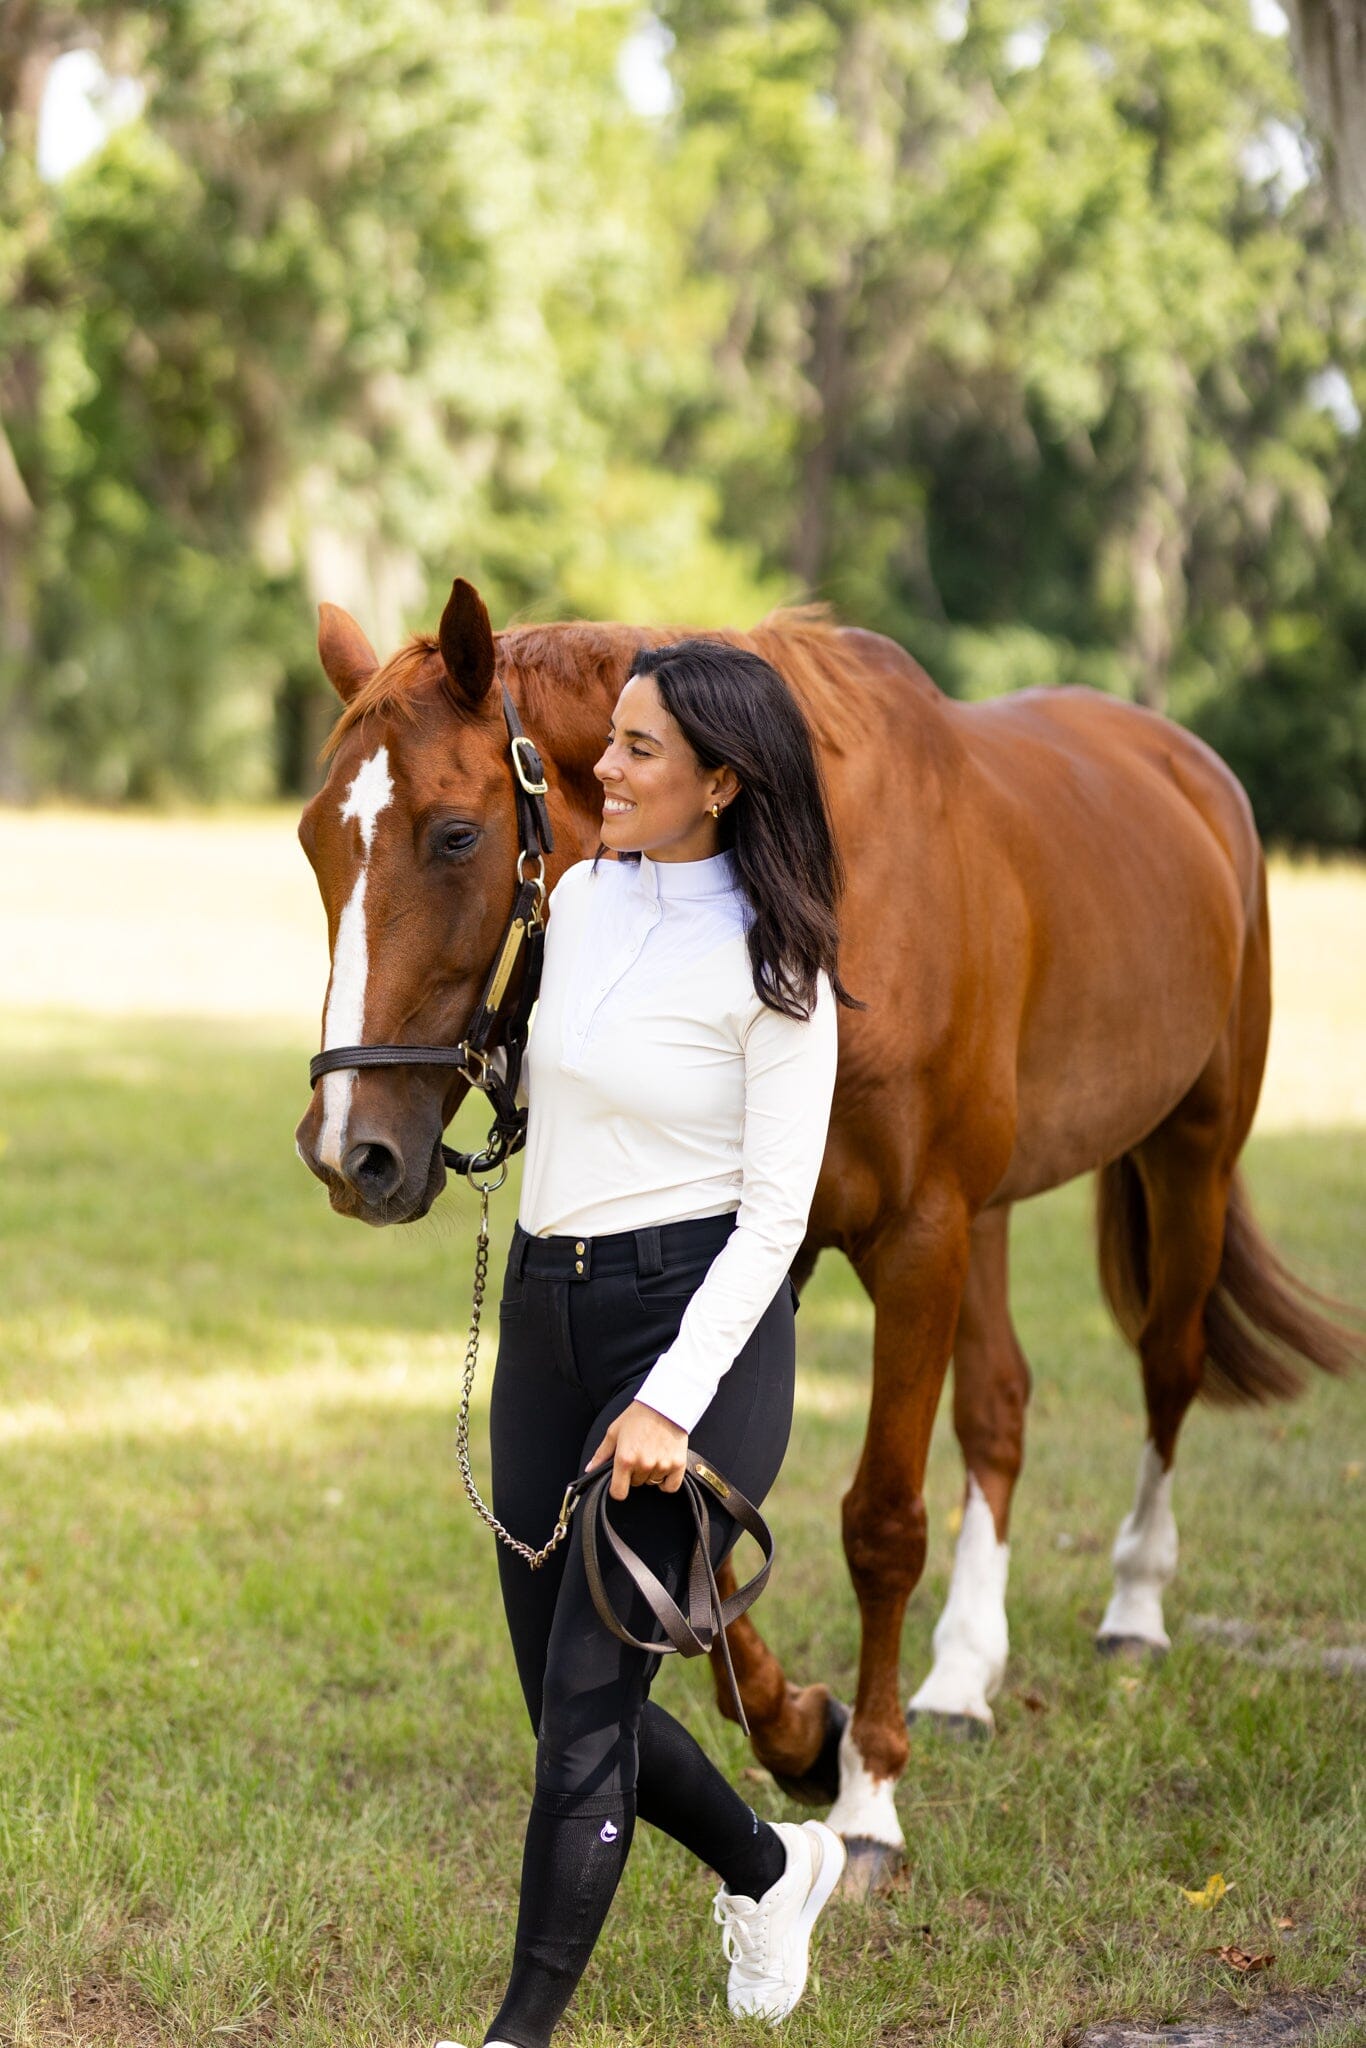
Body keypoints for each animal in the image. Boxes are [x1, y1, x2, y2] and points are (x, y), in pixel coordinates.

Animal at [294, 577, 1351, 1884]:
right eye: (314, 841)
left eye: (453, 833)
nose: (350, 1150)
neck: (814, 894)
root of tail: (1189, 766)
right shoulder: (773, 1250)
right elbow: (696, 1532)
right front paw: (802, 1730)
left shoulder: (916, 1235)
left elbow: (880, 1520)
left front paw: (867, 1793)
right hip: (995, 1212)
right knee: (999, 1404)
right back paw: (962, 1673)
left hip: (1185, 1152)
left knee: (1169, 1363)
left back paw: (1134, 1608)